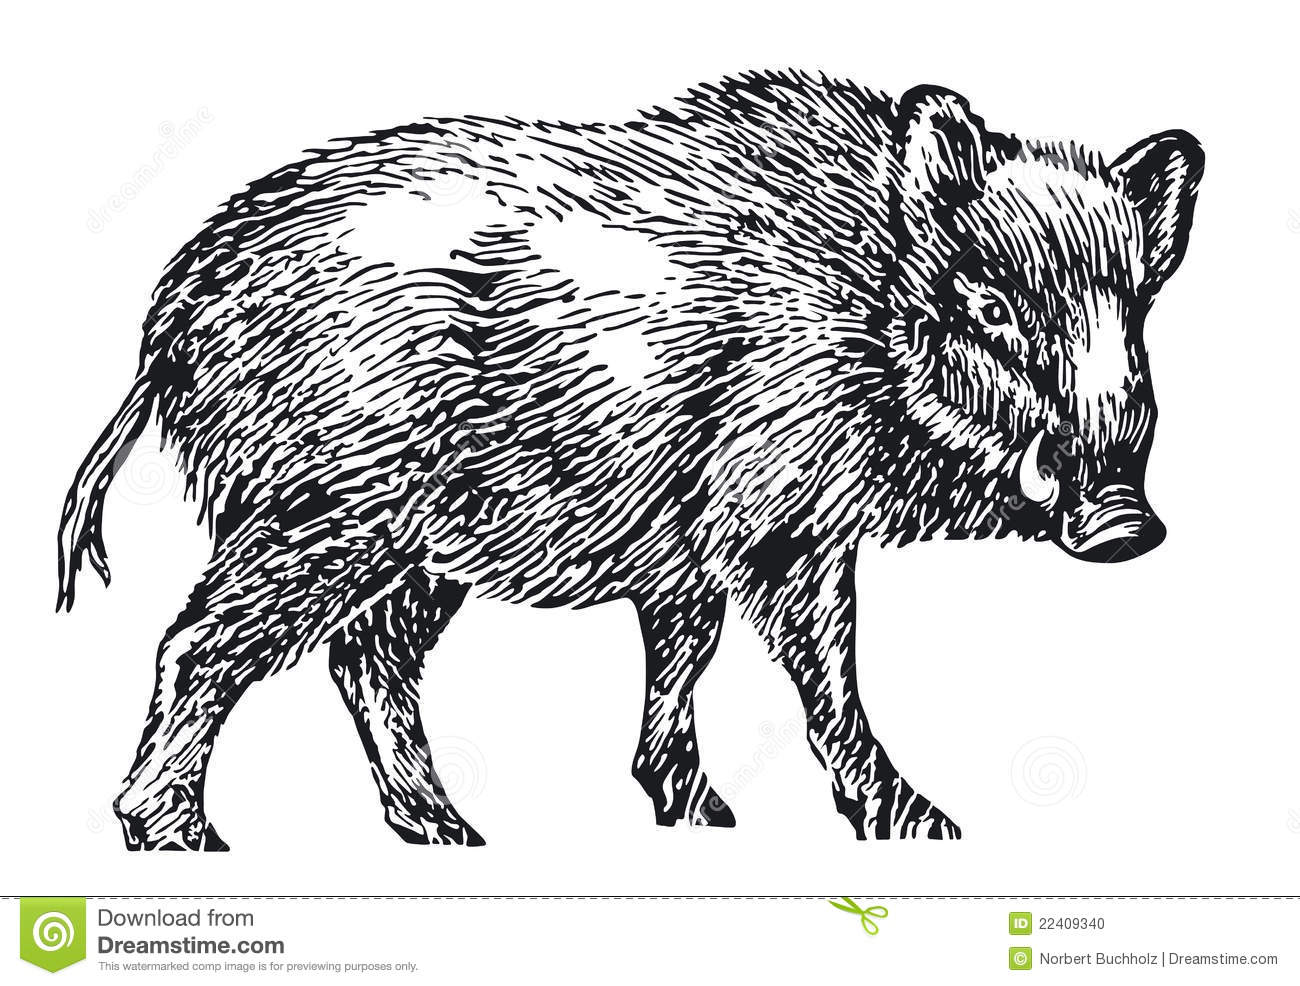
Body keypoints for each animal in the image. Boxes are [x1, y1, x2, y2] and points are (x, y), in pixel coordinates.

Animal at [57, 70, 1202, 849]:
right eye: (991, 304)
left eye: (1133, 309)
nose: (1126, 523)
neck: (862, 313)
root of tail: (174, 304)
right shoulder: (781, 529)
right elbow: (825, 670)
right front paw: (925, 829)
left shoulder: (689, 552)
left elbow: (682, 656)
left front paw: (699, 815)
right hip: (326, 508)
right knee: (202, 643)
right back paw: (184, 838)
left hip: (415, 551)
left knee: (368, 659)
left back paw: (456, 834)